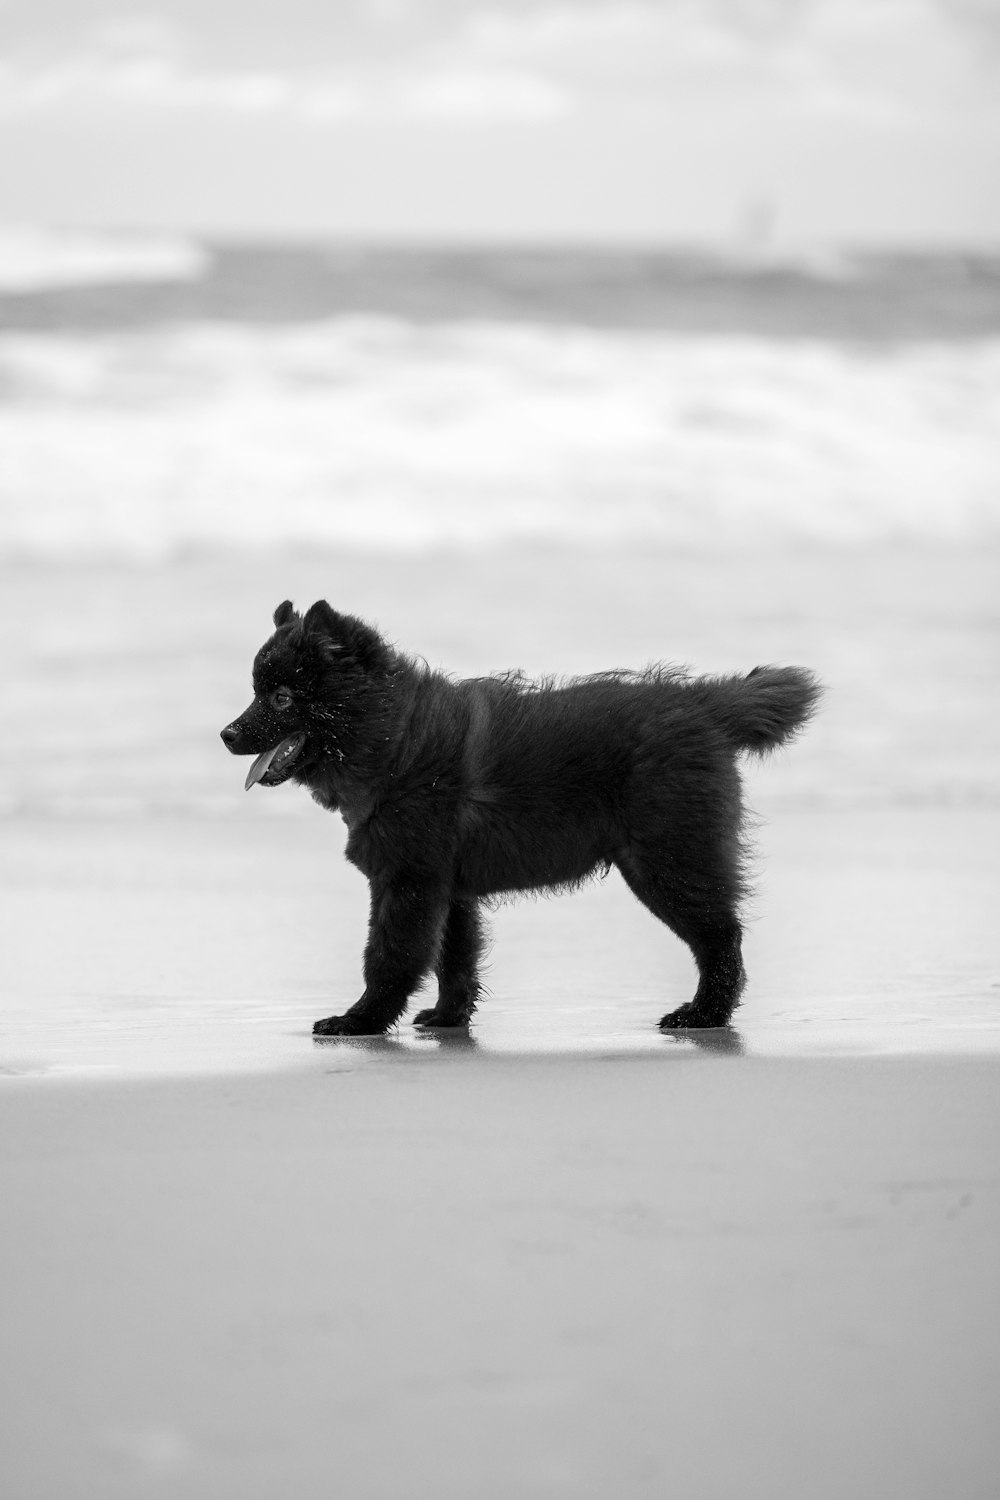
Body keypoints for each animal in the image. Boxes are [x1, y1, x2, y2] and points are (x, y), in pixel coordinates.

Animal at [220, 603, 821, 1038]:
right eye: (256, 691)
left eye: (282, 695)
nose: (226, 734)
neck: (395, 743)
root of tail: (703, 706)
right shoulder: (447, 888)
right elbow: (455, 959)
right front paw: (447, 1019)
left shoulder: (408, 882)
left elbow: (389, 959)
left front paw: (359, 1021)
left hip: (667, 861)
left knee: (722, 938)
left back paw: (703, 1016)